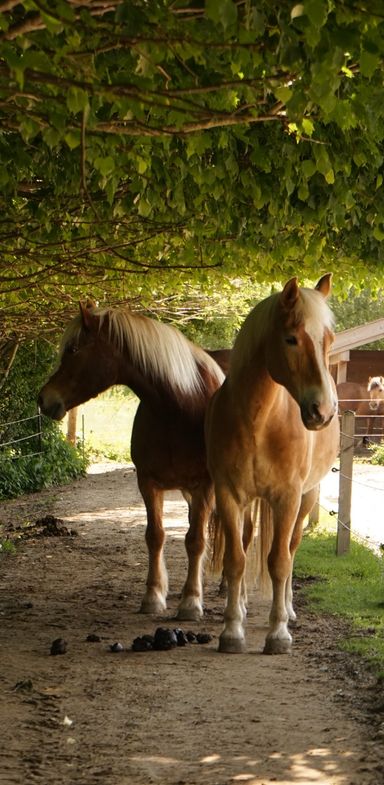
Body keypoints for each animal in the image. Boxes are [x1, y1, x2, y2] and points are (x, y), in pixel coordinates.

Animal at [38, 304, 226, 620]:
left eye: (73, 349)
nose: (43, 399)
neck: (178, 408)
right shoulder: (148, 483)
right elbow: (156, 536)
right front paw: (153, 595)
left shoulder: (205, 485)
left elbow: (195, 540)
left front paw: (190, 601)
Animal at [206, 272, 340, 652]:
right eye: (291, 339)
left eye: (329, 340)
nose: (323, 411)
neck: (258, 421)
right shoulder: (229, 494)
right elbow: (236, 560)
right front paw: (232, 629)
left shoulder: (288, 498)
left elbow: (280, 561)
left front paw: (278, 632)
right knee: (246, 542)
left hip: (306, 500)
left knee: (291, 550)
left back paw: (289, 610)